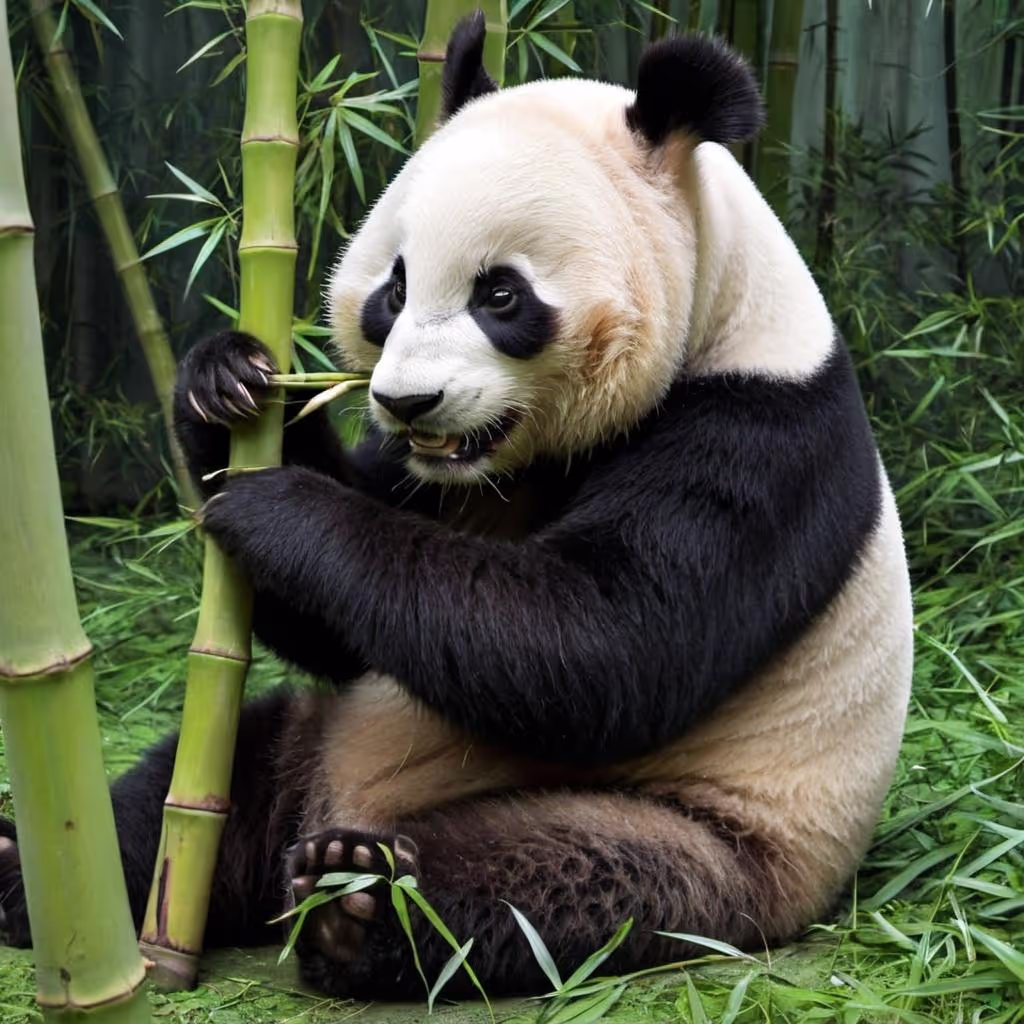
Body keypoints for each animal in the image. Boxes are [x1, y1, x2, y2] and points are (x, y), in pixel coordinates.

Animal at [0, 12, 913, 1000]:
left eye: (500, 294)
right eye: (393, 288)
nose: (408, 403)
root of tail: (323, 810)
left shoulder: (761, 435)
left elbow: (602, 644)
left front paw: (275, 505)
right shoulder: (437, 479)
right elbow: (351, 629)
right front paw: (225, 381)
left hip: (702, 838)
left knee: (544, 882)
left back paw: (357, 904)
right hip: (306, 740)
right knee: (204, 778)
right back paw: (37, 877)